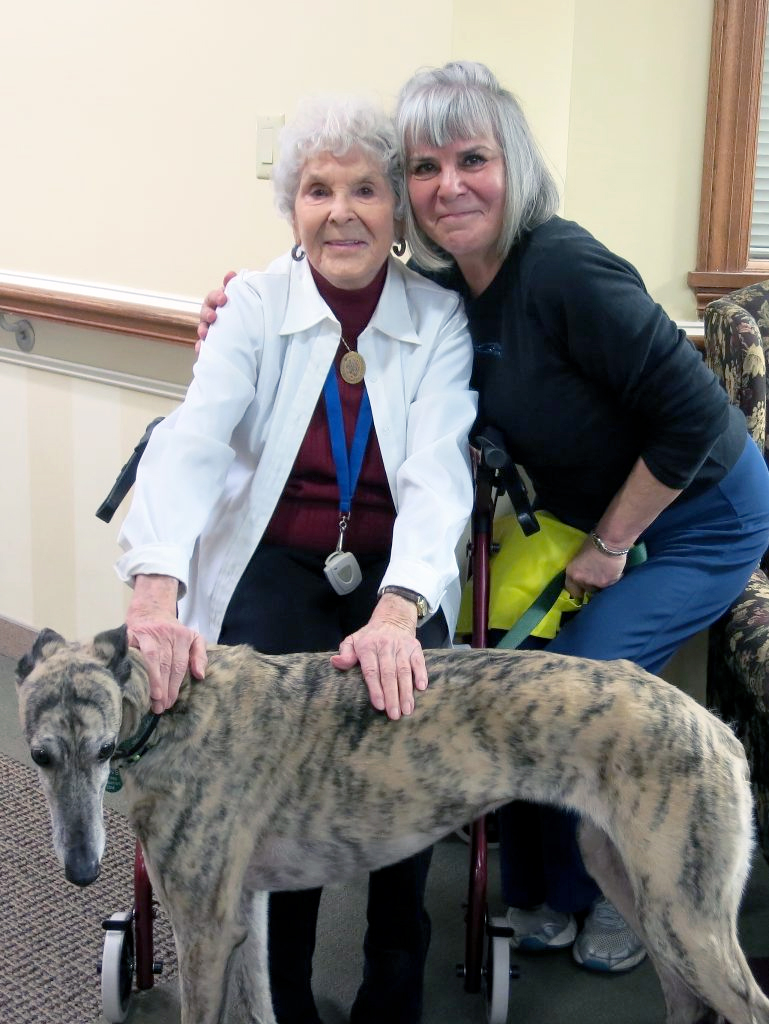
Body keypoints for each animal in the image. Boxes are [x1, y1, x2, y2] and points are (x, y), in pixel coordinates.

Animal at [16, 622, 769, 1024]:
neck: (167, 711)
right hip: (636, 887)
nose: (81, 871)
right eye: (39, 756)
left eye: (102, 751)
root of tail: (719, 729)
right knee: (687, 1002)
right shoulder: (244, 912)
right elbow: (261, 1005)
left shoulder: (203, 929)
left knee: (749, 1005)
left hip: (686, 918)